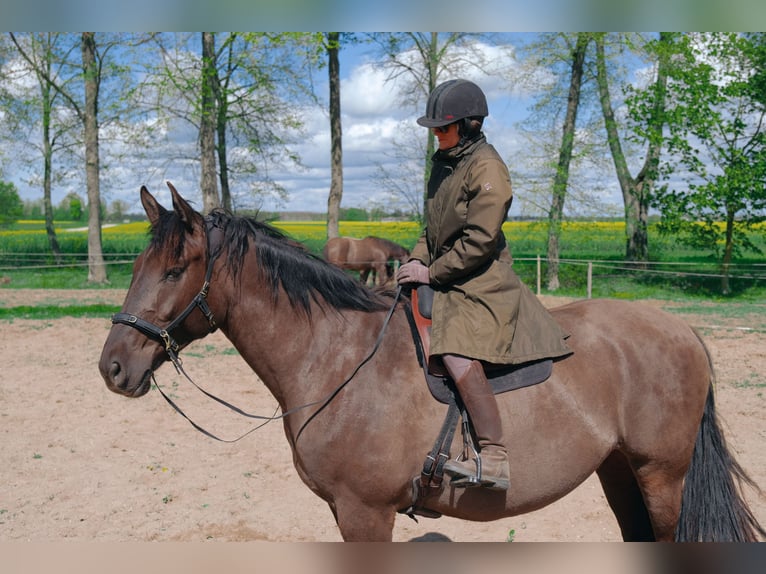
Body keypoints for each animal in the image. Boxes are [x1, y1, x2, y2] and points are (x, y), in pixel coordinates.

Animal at [99, 183, 764, 542]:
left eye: (175, 270)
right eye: (138, 267)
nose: (113, 367)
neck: (337, 358)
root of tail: (681, 329)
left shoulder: (364, 513)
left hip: (662, 474)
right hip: (621, 471)